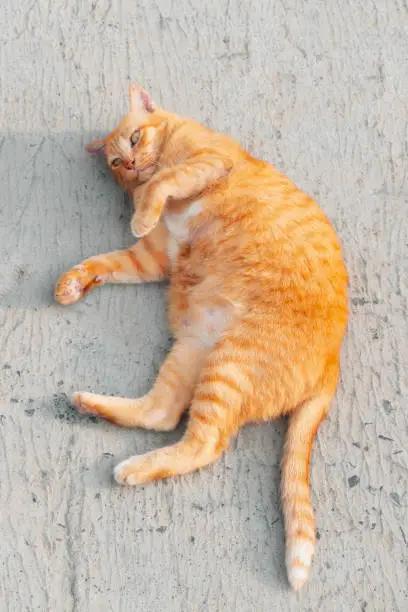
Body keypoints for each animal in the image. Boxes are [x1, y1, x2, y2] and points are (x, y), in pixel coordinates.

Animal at [54, 83, 348, 592]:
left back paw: (132, 467)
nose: (132, 164)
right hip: (194, 347)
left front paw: (144, 204)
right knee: (161, 413)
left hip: (230, 365)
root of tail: (333, 363)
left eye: (135, 139)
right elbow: (106, 262)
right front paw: (74, 283)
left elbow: (164, 183)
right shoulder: (154, 257)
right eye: (116, 162)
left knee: (203, 444)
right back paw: (91, 406)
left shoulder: (208, 162)